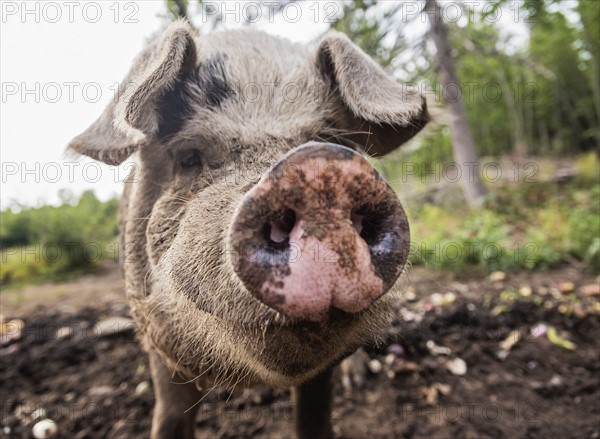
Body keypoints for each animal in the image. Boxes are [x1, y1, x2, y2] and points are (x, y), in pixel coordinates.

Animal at [68, 18, 426, 438]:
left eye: (331, 141)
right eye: (189, 156)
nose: (317, 169)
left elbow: (315, 415)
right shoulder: (156, 338)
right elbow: (169, 414)